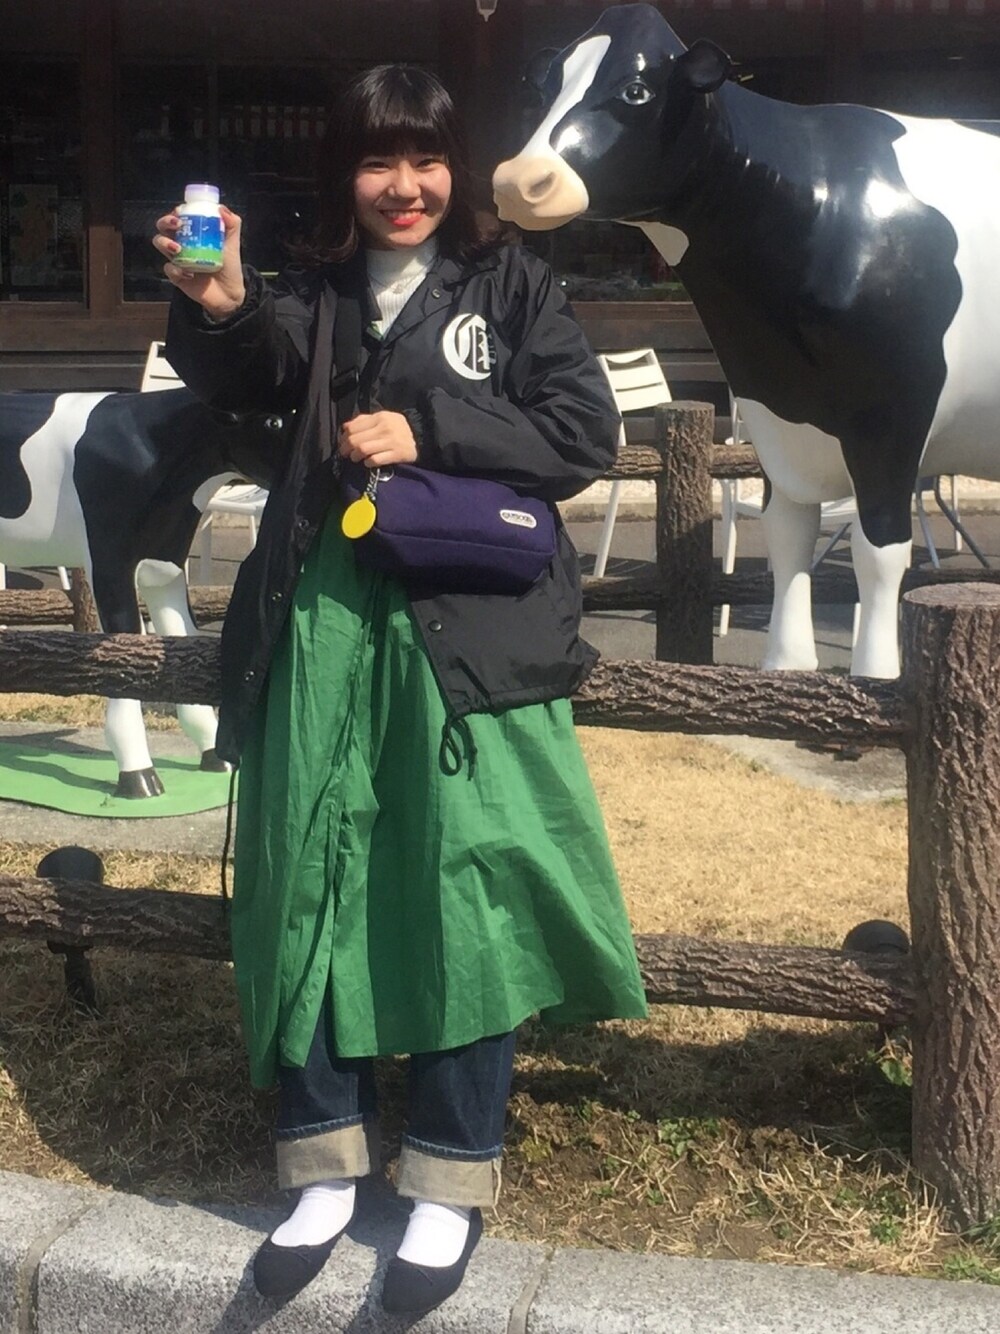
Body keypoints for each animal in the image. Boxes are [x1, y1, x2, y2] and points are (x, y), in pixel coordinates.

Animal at [0, 388, 279, 796]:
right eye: (273, 420)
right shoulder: (109, 564)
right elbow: (123, 649)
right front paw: (137, 773)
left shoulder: (166, 563)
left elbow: (181, 639)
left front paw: (214, 753)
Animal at [493, 2, 1000, 679]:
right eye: (545, 88)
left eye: (636, 91)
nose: (520, 178)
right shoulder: (769, 407)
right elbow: (787, 537)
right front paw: (785, 664)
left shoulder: (892, 412)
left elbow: (879, 553)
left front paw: (875, 675)